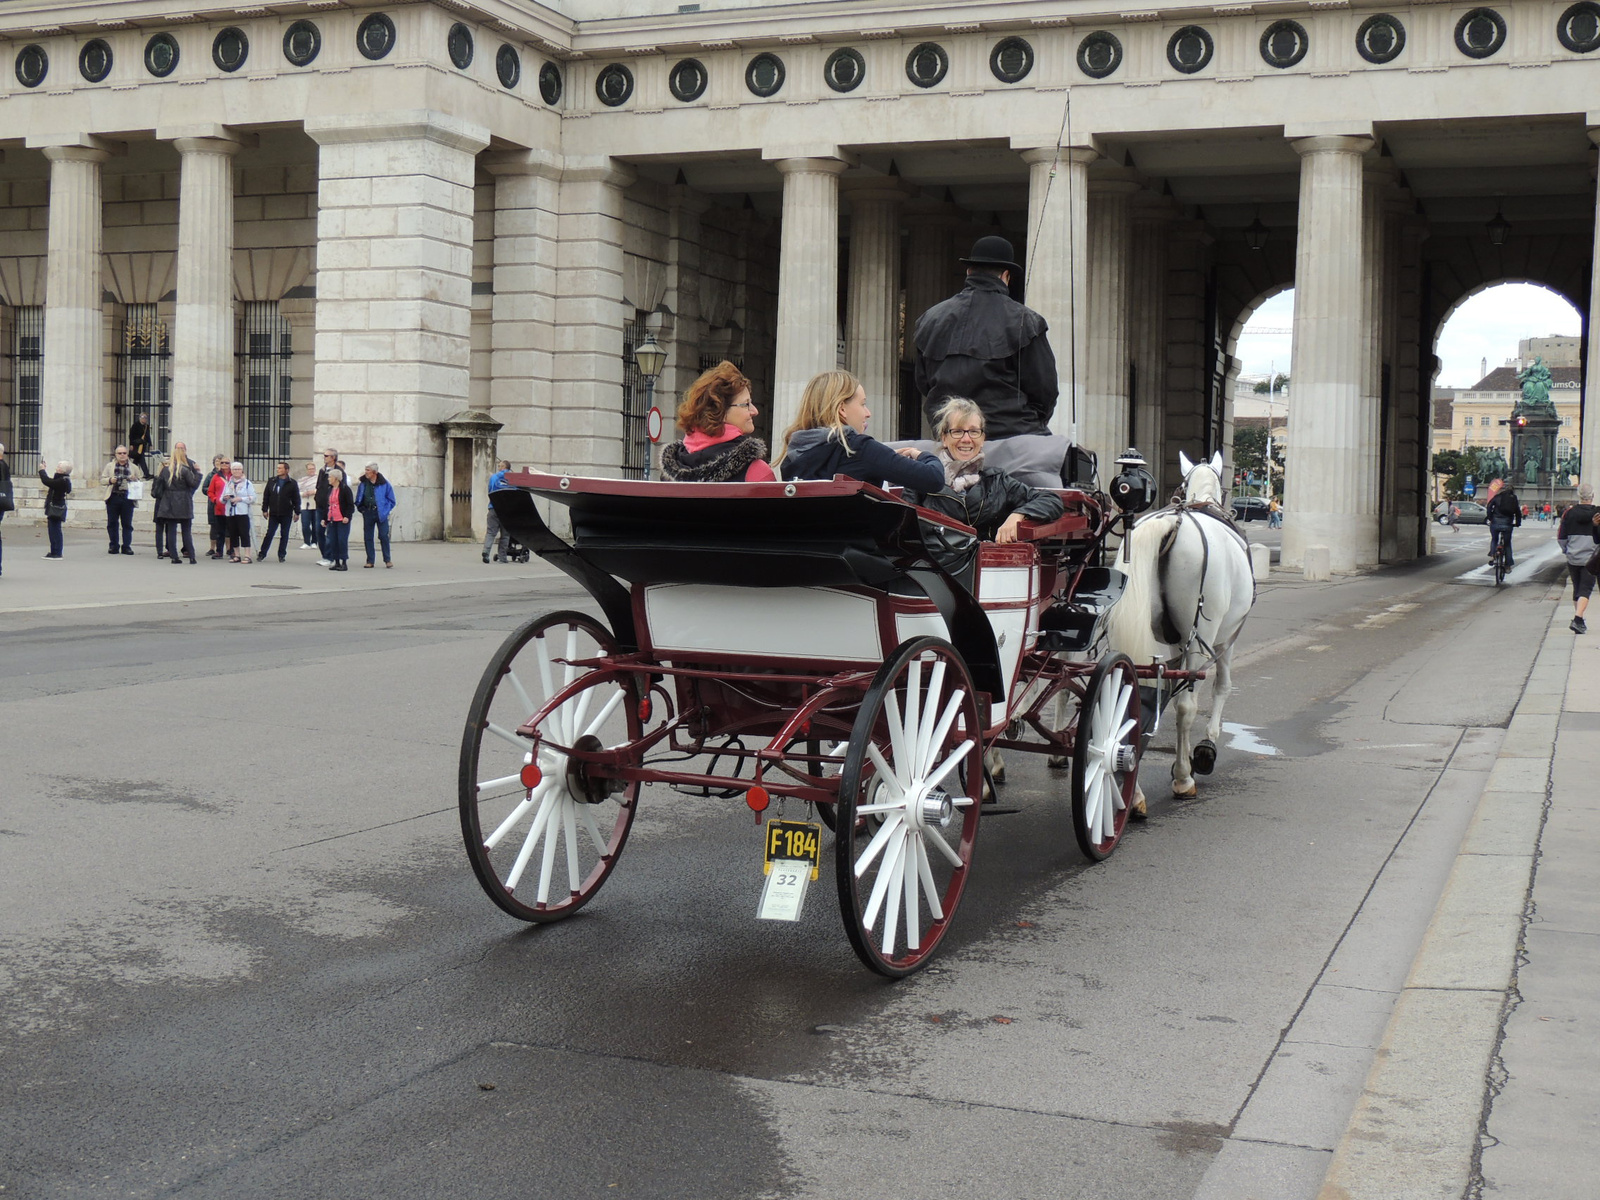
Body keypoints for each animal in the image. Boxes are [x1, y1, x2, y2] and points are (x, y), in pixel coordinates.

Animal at [1107, 451, 1254, 800]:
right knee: (1187, 705)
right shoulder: (1225, 640)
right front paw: (1204, 749)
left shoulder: (1174, 643)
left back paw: (1133, 792)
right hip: (1201, 636)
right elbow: (1220, 687)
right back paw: (1184, 779)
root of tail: (1171, 523)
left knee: (1132, 697)